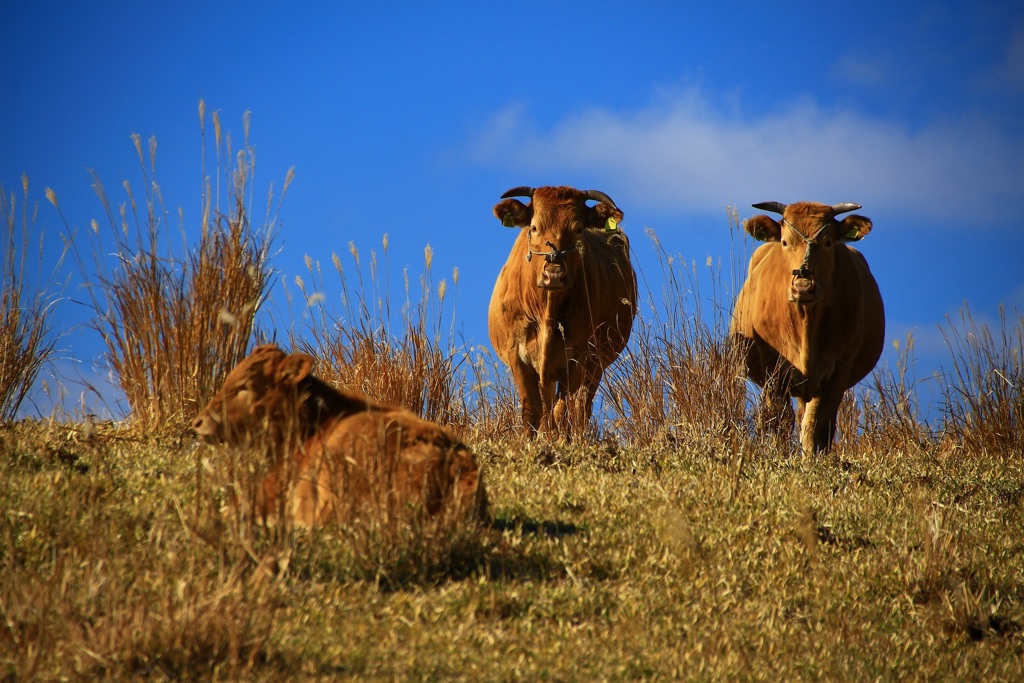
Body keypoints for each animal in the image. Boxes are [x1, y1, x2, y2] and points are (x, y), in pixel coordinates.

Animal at [485, 185, 630, 438]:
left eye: (578, 229)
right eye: (534, 227)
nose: (553, 274)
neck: (546, 312)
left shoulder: (579, 358)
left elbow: (562, 411)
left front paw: (561, 441)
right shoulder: (517, 355)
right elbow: (531, 409)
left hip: (596, 363)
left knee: (581, 407)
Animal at [733, 198, 884, 454]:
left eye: (828, 242)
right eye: (785, 242)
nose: (803, 287)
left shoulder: (838, 370)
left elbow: (816, 425)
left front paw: (812, 458)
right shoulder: (773, 367)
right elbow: (780, 421)